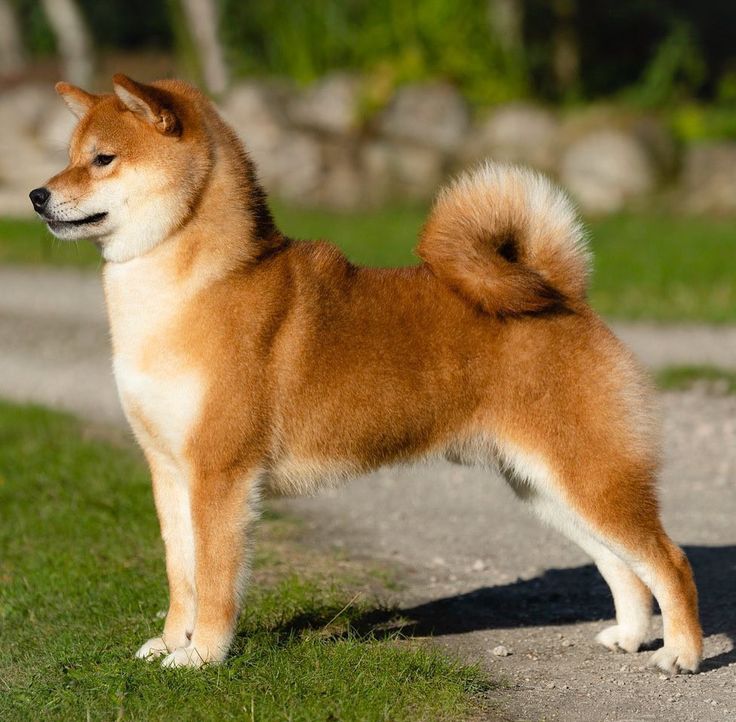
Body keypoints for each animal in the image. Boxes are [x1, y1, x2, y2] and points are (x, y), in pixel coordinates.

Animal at [30, 76, 700, 672]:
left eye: (102, 159)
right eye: (69, 156)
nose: (37, 195)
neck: (191, 287)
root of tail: (565, 295)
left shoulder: (220, 475)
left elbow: (216, 581)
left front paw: (203, 658)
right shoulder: (170, 471)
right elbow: (182, 575)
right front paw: (171, 644)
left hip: (591, 476)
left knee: (669, 561)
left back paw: (682, 654)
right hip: (545, 486)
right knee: (622, 568)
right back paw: (630, 636)